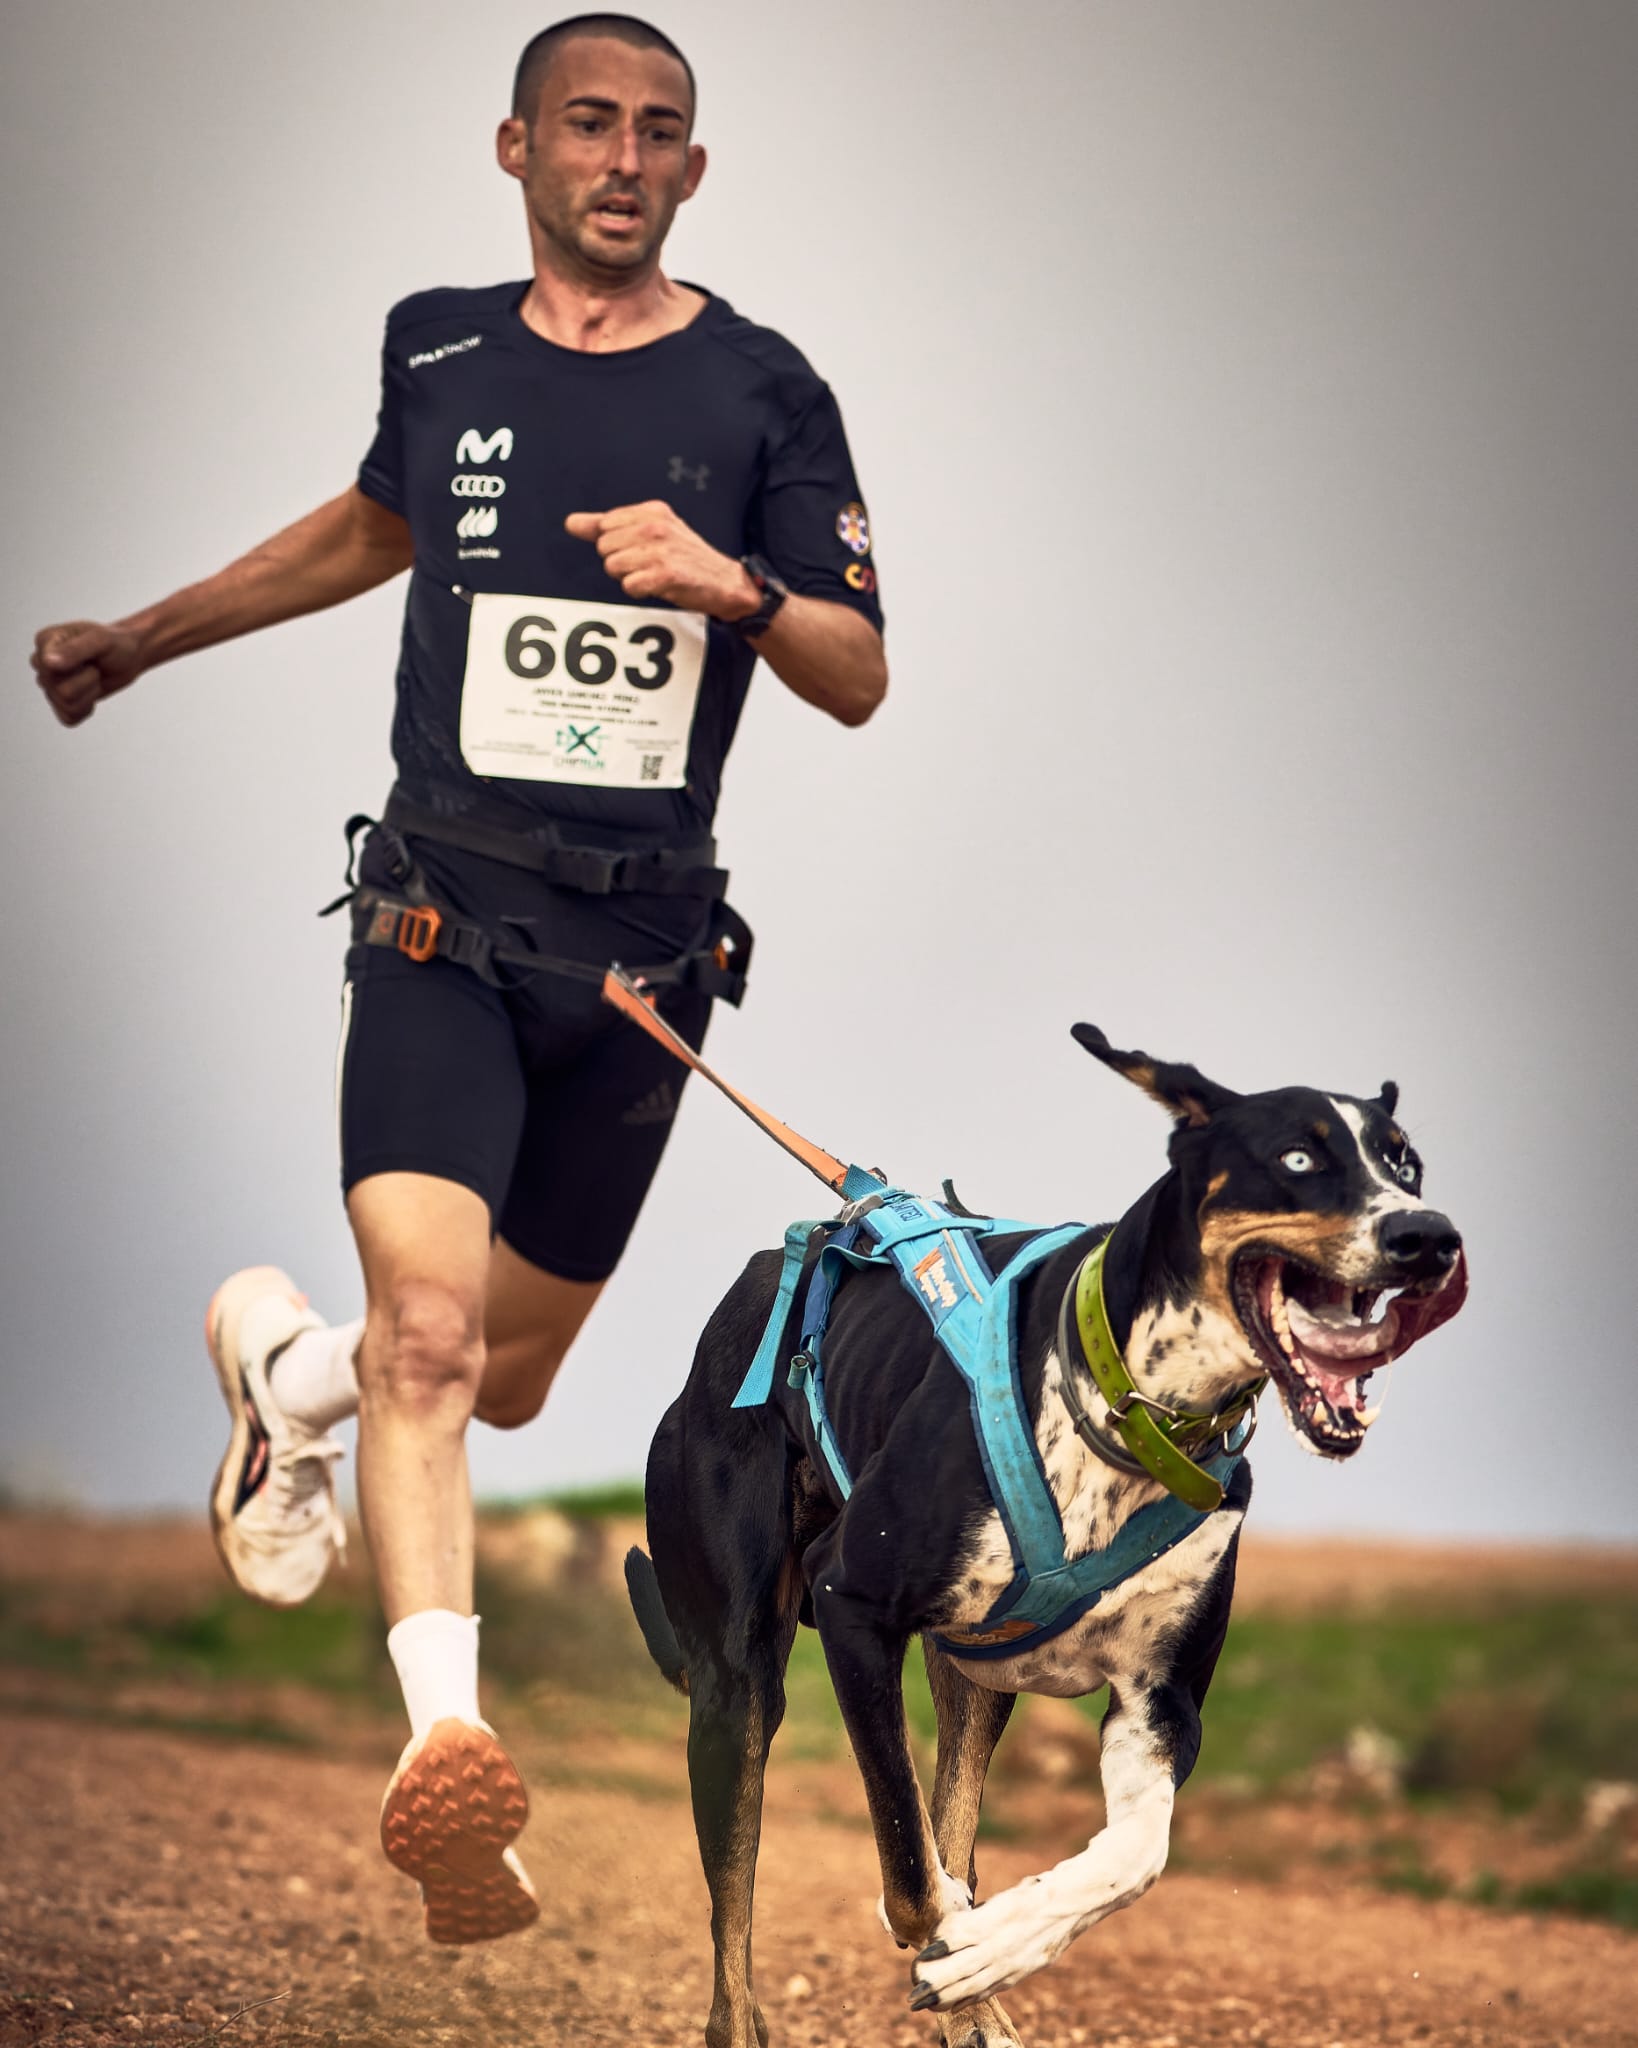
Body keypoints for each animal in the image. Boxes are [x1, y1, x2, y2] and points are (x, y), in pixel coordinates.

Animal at [626, 1024, 1474, 2048]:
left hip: (973, 1676)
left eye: (1406, 1163)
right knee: (739, 1923)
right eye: (1299, 1159)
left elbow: (1128, 1857)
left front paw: (998, 1946)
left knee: (951, 1816)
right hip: (739, 1682)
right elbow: (909, 1872)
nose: (1429, 1236)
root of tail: (763, 1276)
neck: (1137, 1415)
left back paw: (977, 1999)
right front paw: (956, 1937)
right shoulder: (851, 1602)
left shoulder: (1160, 1703)